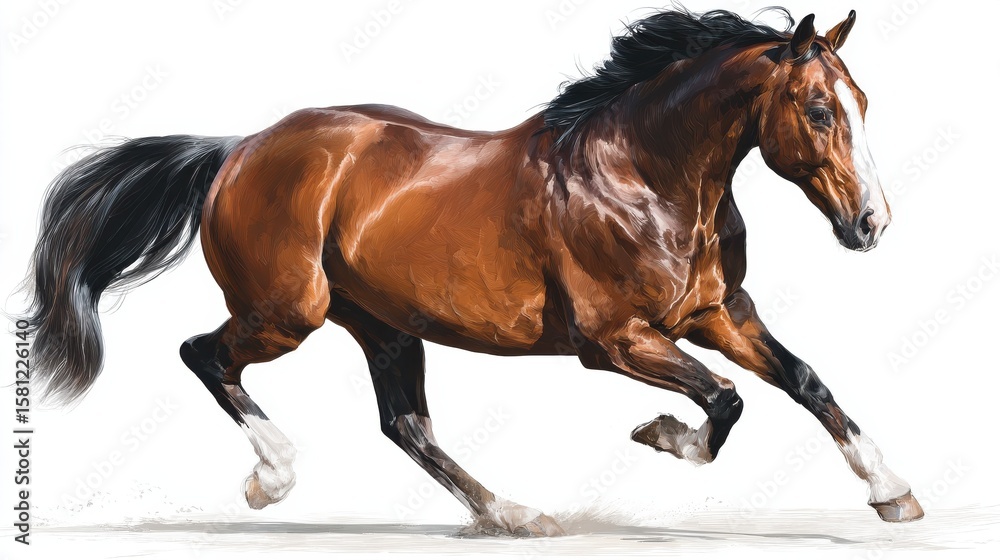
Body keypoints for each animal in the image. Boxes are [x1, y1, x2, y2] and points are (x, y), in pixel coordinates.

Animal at [22, 8, 923, 536]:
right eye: (819, 110)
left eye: (863, 104)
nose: (871, 225)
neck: (644, 175)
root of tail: (236, 150)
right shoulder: (614, 341)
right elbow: (725, 400)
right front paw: (662, 435)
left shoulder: (719, 312)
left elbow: (804, 381)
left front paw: (893, 492)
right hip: (287, 313)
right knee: (203, 354)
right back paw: (271, 480)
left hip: (383, 326)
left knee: (405, 426)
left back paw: (512, 513)